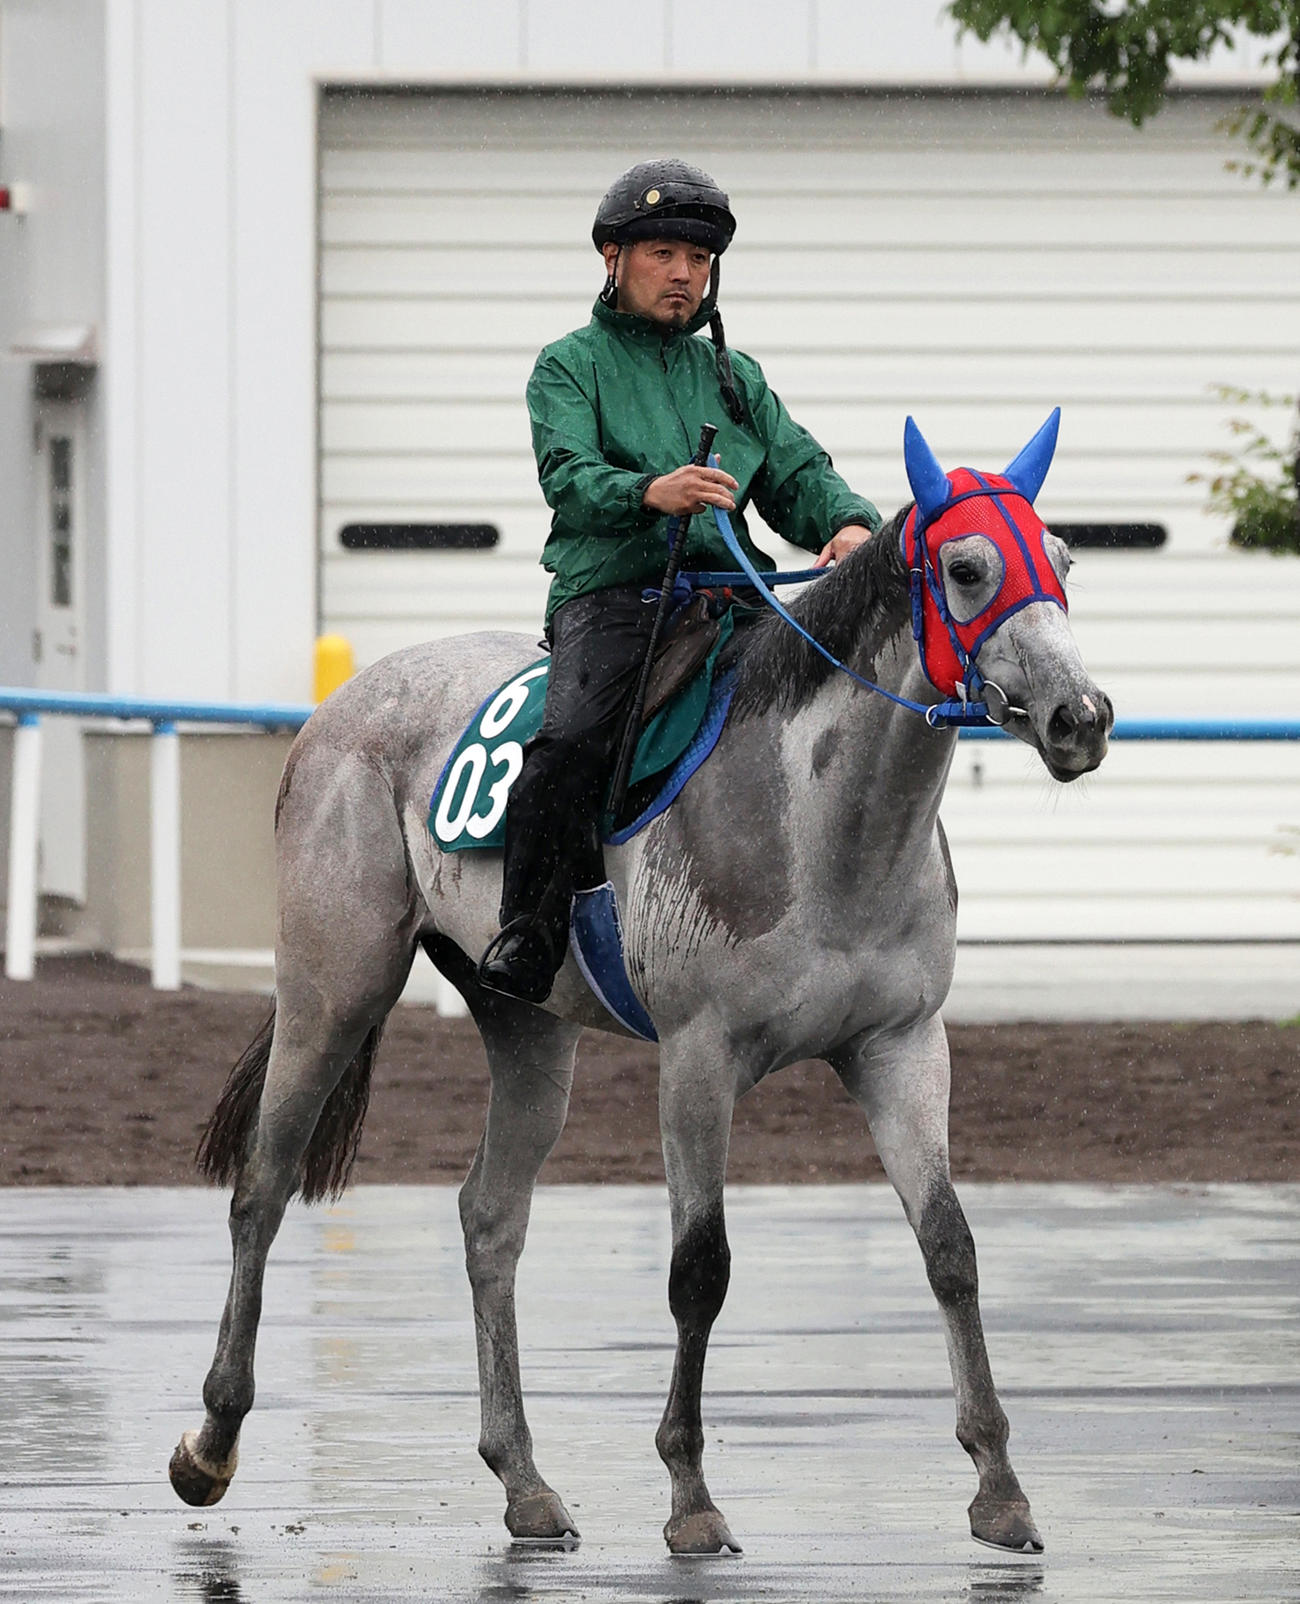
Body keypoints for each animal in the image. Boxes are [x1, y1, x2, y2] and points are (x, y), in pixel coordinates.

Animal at [168, 413, 1111, 1556]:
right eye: (968, 569)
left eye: (1063, 561)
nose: (1082, 716)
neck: (820, 823)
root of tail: (337, 710)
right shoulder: (699, 1057)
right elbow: (699, 1269)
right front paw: (690, 1495)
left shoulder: (901, 1046)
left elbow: (950, 1247)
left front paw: (1000, 1485)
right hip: (332, 987)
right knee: (262, 1187)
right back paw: (211, 1442)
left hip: (528, 1026)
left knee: (491, 1216)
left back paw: (522, 1477)